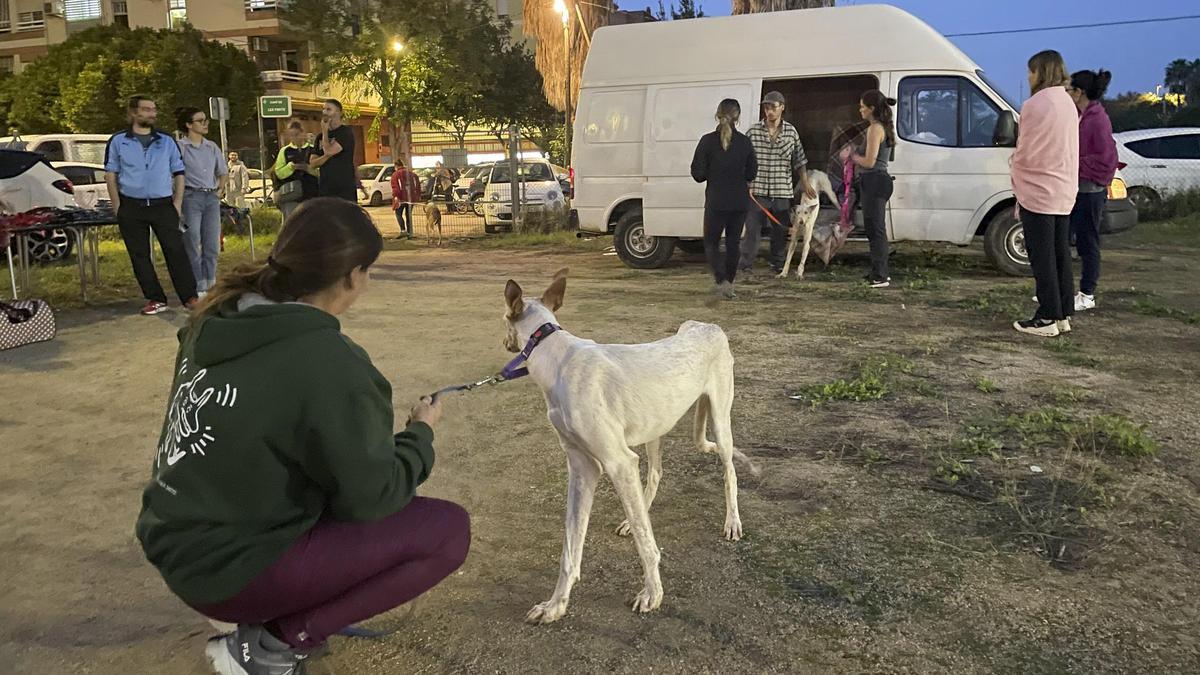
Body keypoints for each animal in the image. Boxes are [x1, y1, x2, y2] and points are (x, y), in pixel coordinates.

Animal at [501, 265, 753, 624]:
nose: (505, 342)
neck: (554, 355)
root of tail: (706, 325)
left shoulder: (618, 462)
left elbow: (647, 545)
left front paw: (653, 594)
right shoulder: (583, 467)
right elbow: (571, 548)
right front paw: (556, 604)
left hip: (720, 419)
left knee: (729, 471)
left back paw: (732, 522)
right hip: (654, 428)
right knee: (656, 475)